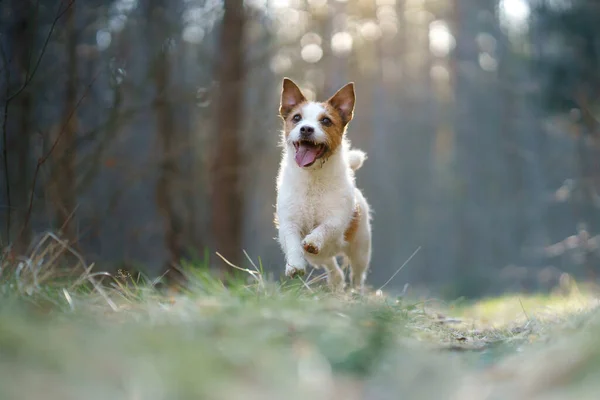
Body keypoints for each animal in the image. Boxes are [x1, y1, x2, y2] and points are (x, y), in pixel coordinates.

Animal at [276, 77, 370, 290]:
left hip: (361, 249)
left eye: (326, 120)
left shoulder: (336, 217)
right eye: (297, 118)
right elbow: (293, 242)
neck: (312, 178)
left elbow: (325, 228)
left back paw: (357, 291)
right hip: (320, 259)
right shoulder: (289, 221)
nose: (306, 129)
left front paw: (313, 239)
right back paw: (335, 281)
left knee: (357, 274)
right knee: (333, 269)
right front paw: (295, 265)